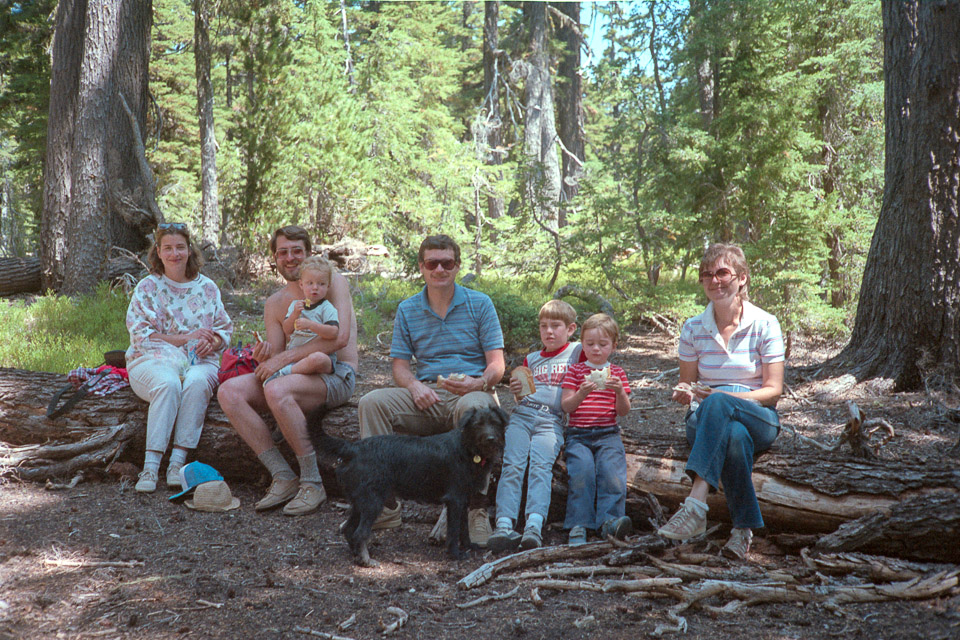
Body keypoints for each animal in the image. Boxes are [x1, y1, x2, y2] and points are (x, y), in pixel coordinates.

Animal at [316, 404, 510, 564]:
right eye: (477, 424)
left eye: (494, 422)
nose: (491, 438)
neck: (468, 448)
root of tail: (353, 448)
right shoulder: (455, 500)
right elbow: (454, 531)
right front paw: (455, 554)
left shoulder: (464, 500)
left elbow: (464, 528)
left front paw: (469, 546)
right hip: (373, 502)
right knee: (359, 533)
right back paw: (365, 560)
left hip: (360, 502)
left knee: (349, 529)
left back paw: (356, 554)